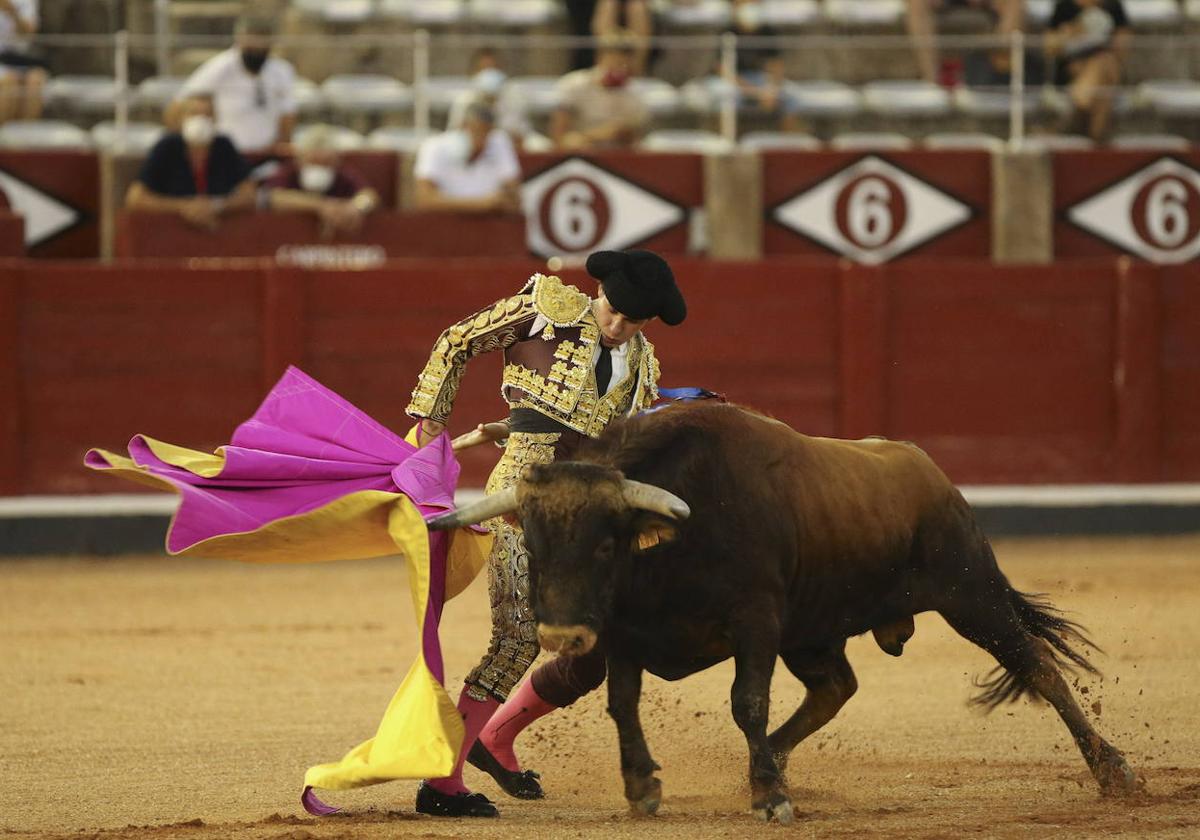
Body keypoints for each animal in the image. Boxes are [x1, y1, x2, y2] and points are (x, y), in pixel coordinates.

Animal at [427, 400, 1137, 820]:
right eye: (533, 545)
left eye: (606, 544)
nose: (564, 633)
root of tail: (929, 470)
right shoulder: (625, 632)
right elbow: (621, 704)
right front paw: (643, 788)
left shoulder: (756, 620)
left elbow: (747, 701)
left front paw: (770, 797)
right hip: (814, 629)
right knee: (835, 687)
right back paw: (767, 759)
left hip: (971, 593)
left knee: (1035, 662)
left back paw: (1114, 772)